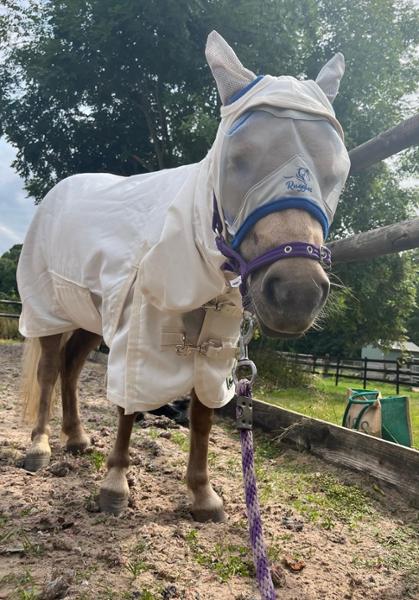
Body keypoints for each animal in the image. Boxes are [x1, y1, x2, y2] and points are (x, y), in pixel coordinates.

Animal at [17, 32, 352, 520]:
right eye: (237, 159)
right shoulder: (138, 330)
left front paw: (202, 494)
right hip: (48, 310)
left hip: (90, 316)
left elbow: (202, 416)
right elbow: (129, 405)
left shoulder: (215, 346)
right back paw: (39, 447)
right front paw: (115, 485)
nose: (296, 293)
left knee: (71, 367)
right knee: (47, 370)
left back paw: (76, 439)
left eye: (339, 169)